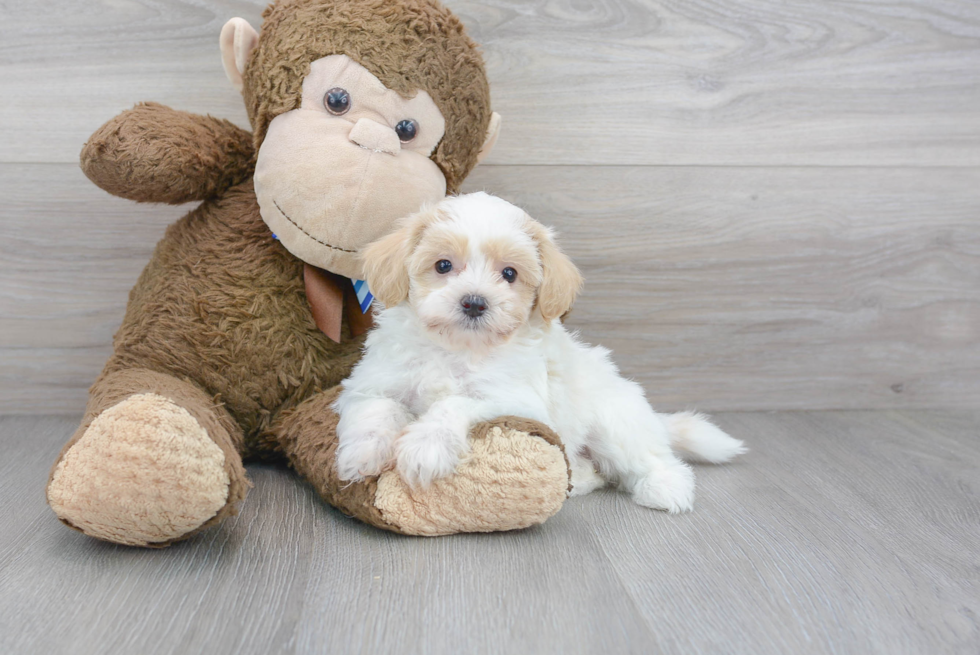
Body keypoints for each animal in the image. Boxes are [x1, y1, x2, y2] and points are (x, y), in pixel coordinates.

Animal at [334, 192, 748, 516]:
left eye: (510, 274)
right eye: (443, 265)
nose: (474, 302)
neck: (456, 350)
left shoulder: (517, 401)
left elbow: (455, 403)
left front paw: (425, 447)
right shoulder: (372, 382)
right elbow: (377, 407)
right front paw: (363, 452)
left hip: (615, 424)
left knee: (653, 459)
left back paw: (666, 489)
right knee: (594, 470)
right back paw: (578, 480)